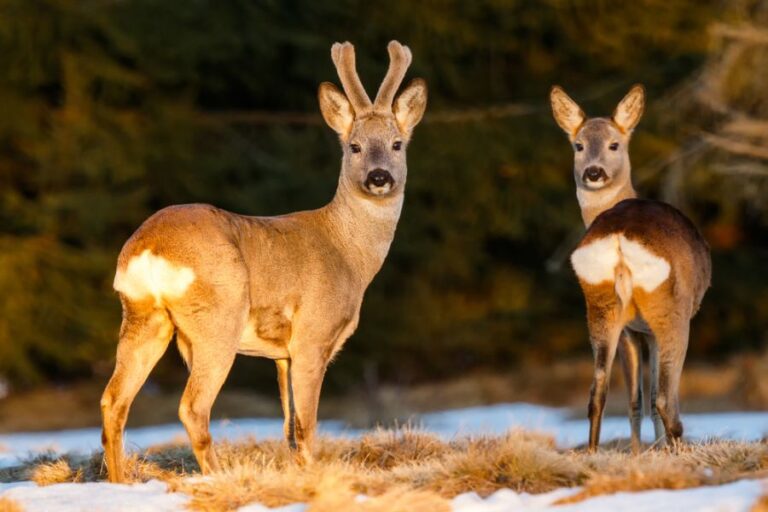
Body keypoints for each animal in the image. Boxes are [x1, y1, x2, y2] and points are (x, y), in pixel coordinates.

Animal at [100, 40, 427, 482]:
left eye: (397, 144)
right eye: (354, 146)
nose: (379, 177)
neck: (349, 253)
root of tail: (147, 248)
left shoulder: (281, 355)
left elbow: (288, 426)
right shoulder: (312, 335)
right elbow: (306, 426)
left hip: (144, 317)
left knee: (113, 400)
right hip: (218, 318)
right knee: (193, 407)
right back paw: (218, 477)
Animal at [550, 85, 711, 453]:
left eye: (614, 144)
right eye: (579, 145)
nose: (593, 172)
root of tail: (619, 237)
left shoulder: (632, 330)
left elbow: (636, 398)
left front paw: (638, 454)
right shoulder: (647, 328)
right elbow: (651, 396)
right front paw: (655, 452)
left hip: (601, 305)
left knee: (598, 392)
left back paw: (593, 453)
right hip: (669, 309)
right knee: (666, 398)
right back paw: (678, 449)